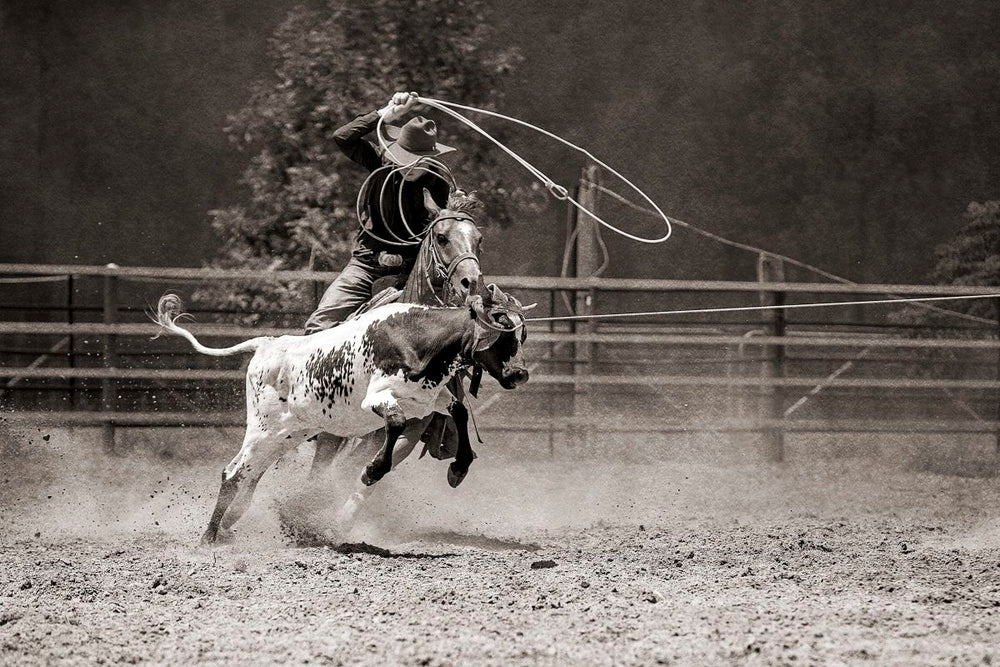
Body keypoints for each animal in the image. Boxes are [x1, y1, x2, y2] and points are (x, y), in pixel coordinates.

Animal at [153, 290, 528, 544]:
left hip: (288, 433)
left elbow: (459, 412)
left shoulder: (428, 399)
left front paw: (459, 468)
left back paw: (230, 525)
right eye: (502, 334)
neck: (418, 337)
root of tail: (266, 345)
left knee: (249, 473)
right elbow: (394, 423)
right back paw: (209, 537)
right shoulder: (377, 398)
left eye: (521, 335)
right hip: (262, 429)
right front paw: (373, 468)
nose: (520, 374)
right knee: (232, 473)